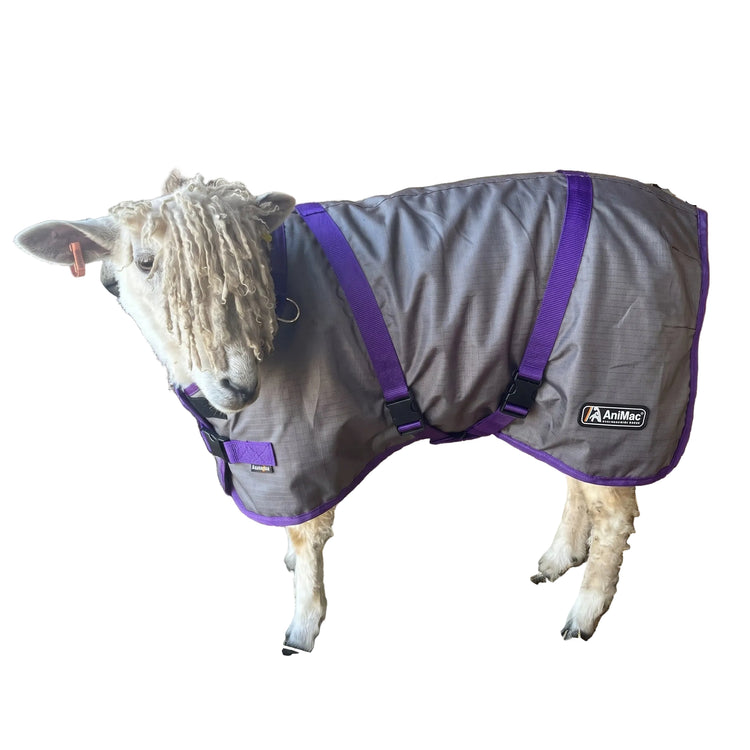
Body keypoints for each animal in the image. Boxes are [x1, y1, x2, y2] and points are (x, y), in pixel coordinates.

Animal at [14, 170, 708, 653]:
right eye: (146, 263)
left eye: (251, 272)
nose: (239, 384)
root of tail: (680, 213)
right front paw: (292, 571)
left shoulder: (302, 449)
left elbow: (309, 536)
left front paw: (302, 622)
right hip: (568, 394)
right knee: (581, 476)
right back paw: (558, 559)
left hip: (620, 385)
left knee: (615, 513)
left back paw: (584, 611)